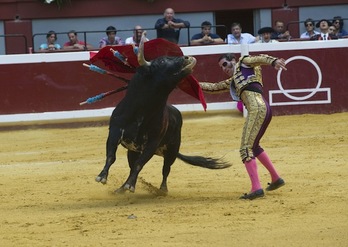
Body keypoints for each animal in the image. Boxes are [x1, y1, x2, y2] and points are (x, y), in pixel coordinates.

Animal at [96, 32, 231, 194]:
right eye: (161, 61)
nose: (188, 58)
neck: (141, 112)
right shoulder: (114, 132)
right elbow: (111, 156)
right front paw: (102, 177)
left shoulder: (152, 143)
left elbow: (140, 164)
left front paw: (130, 185)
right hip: (134, 151)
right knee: (132, 165)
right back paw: (122, 188)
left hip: (172, 150)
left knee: (165, 169)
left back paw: (161, 189)